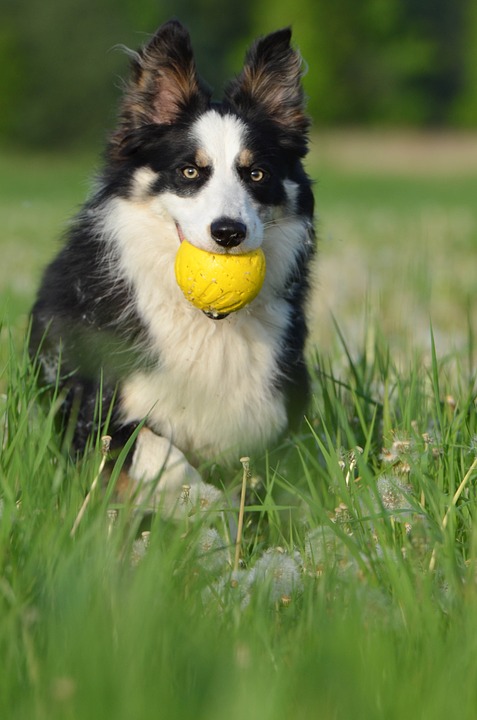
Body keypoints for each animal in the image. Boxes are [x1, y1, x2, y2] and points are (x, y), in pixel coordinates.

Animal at [28, 16, 312, 512]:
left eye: (256, 174)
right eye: (190, 172)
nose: (229, 232)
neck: (207, 326)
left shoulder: (276, 409)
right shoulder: (87, 411)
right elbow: (160, 450)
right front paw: (202, 502)